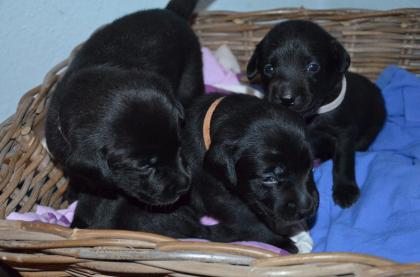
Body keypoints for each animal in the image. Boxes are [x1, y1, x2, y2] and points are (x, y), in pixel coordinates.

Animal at [46, 0, 202, 207]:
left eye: (179, 146)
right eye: (143, 165)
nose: (185, 186)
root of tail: (170, 12)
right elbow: (76, 174)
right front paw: (74, 191)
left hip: (191, 78)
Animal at [181, 94, 318, 253]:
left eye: (310, 168)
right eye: (269, 178)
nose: (306, 210)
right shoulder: (220, 196)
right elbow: (249, 221)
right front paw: (284, 241)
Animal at [246, 20, 388, 207]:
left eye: (313, 67)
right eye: (269, 68)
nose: (286, 99)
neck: (309, 117)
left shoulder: (344, 134)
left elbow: (343, 161)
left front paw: (345, 189)